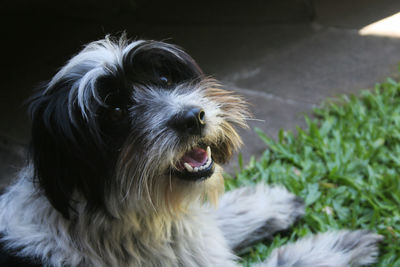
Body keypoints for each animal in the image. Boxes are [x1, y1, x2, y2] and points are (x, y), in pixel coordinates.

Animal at [0, 36, 382, 267]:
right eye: (115, 111)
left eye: (164, 79)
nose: (192, 117)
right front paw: (339, 246)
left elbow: (209, 220)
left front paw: (267, 203)